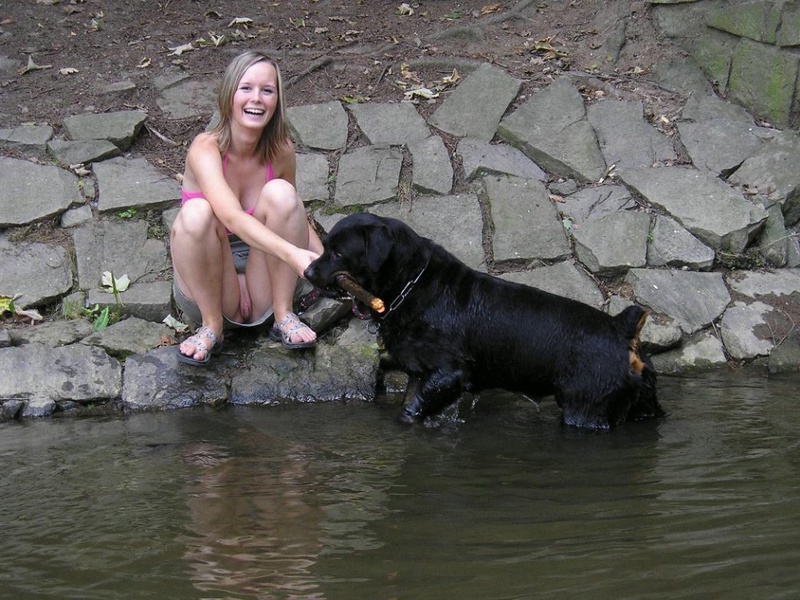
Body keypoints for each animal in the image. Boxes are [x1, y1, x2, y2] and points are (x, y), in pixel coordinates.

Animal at [304, 213, 660, 428]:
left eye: (337, 253)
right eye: (324, 247)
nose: (307, 272)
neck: (411, 285)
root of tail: (620, 328)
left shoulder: (449, 372)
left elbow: (411, 410)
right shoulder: (420, 373)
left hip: (586, 405)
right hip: (641, 398)